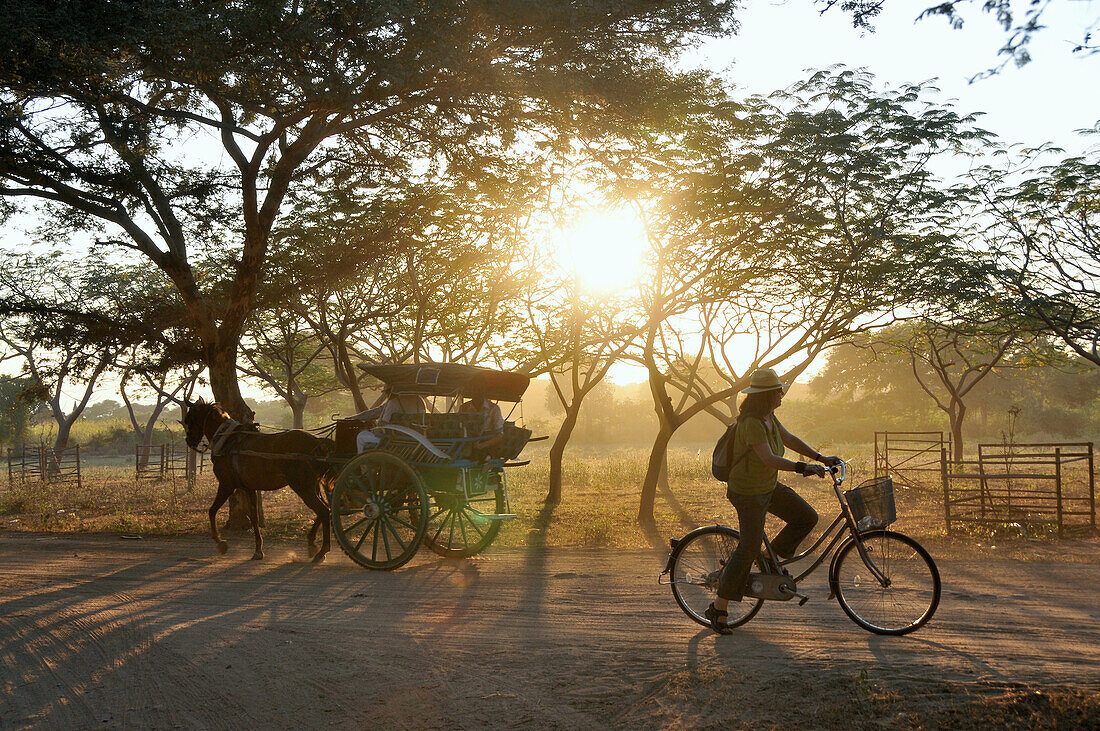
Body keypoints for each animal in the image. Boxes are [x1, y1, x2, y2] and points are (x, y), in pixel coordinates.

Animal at [182, 402, 334, 560]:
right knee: (326, 509)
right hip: (313, 487)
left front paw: (221, 543)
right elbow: (254, 517)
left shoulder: (226, 485)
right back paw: (312, 542)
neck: (227, 441)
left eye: (189, 418)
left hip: (303, 487)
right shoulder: (249, 488)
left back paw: (322, 550)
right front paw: (258, 550)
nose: (189, 441)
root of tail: (317, 442)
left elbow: (212, 511)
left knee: (323, 510)